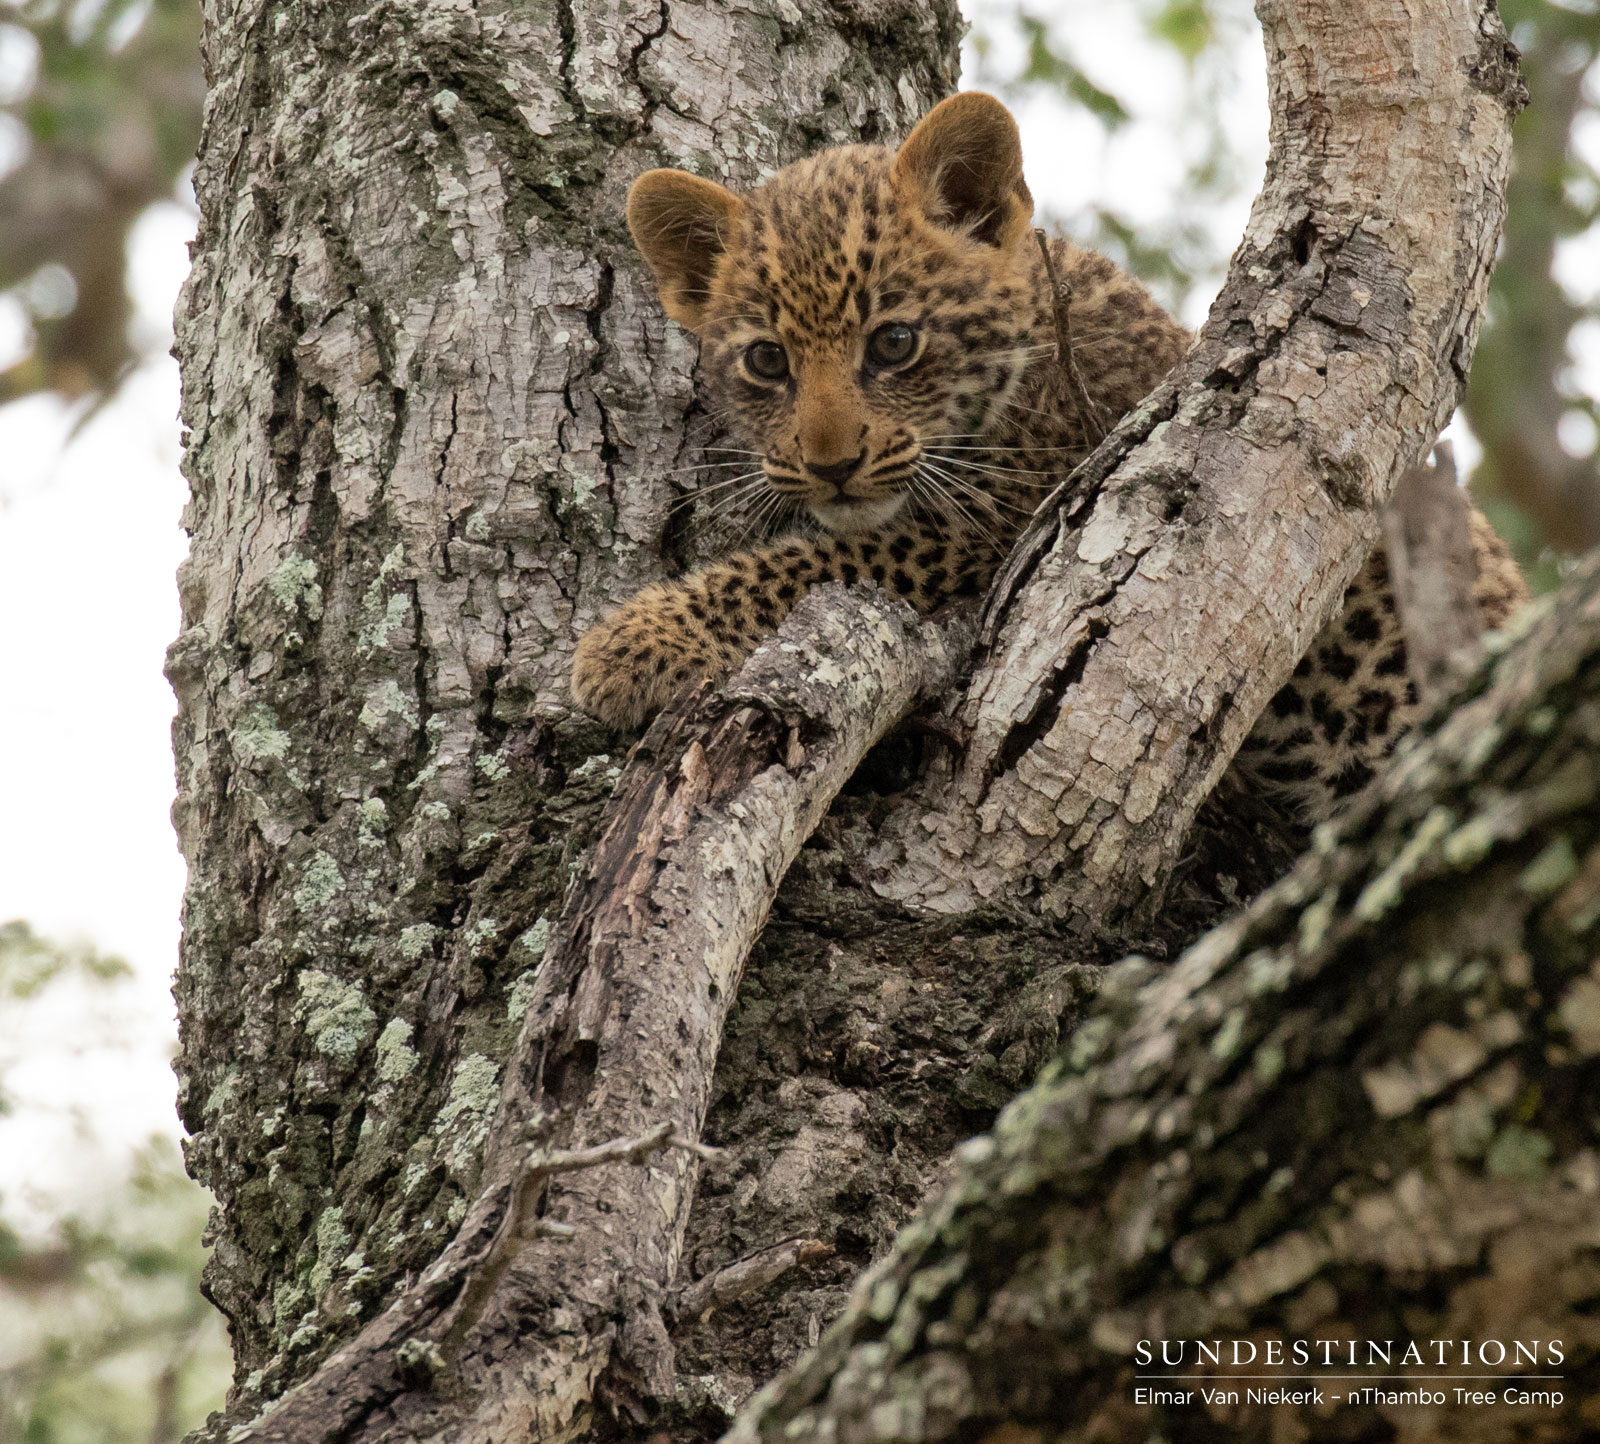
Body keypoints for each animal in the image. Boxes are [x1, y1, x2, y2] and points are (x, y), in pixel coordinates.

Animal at [572, 91, 1527, 821]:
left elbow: (822, 559)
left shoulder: (1012, 531)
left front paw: (627, 644)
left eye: (895, 343)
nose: (831, 463)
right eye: (767, 362)